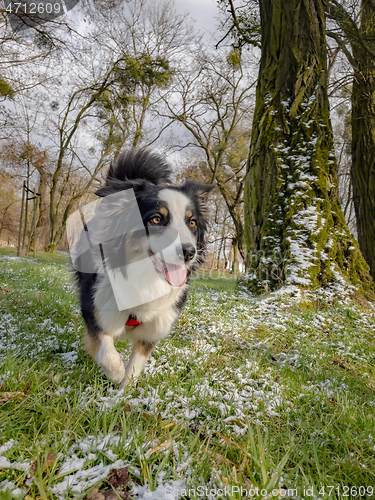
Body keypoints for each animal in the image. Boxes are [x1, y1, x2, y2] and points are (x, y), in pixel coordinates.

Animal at [73, 148, 214, 390]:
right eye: (156, 219)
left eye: (192, 222)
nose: (189, 252)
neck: (144, 278)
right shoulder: (96, 307)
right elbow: (107, 353)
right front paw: (116, 374)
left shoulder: (156, 325)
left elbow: (136, 364)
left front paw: (123, 392)